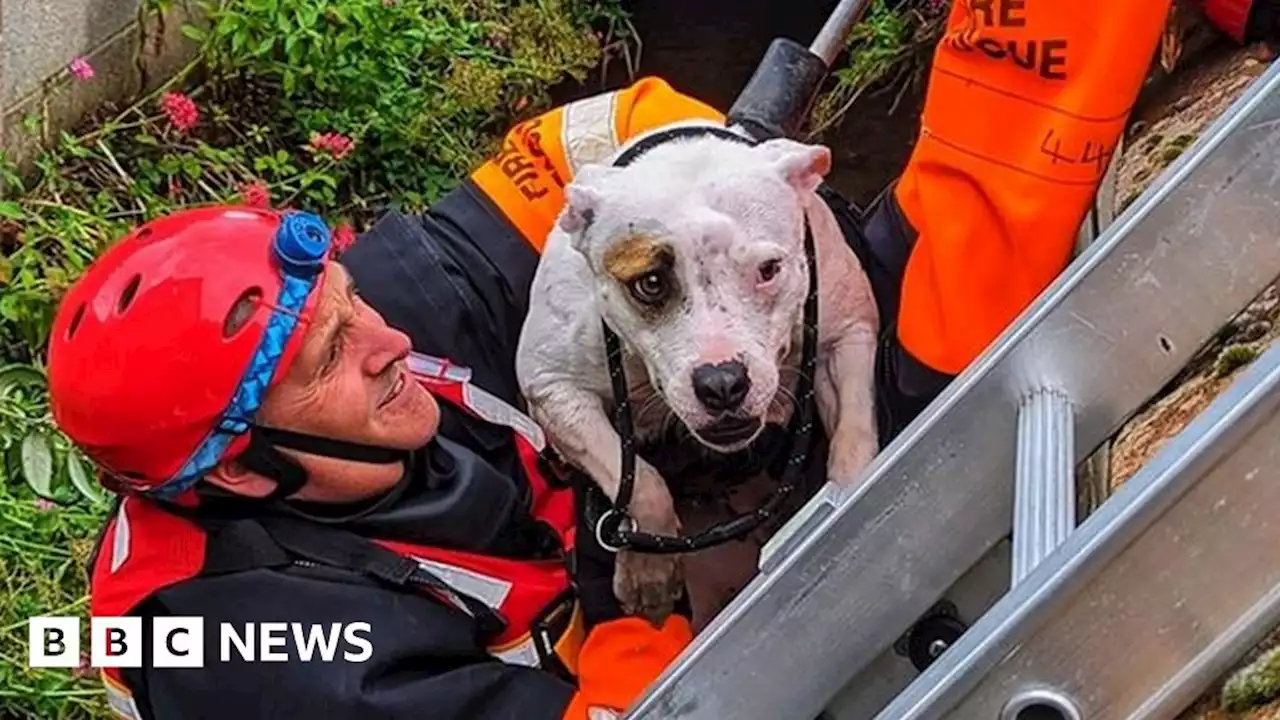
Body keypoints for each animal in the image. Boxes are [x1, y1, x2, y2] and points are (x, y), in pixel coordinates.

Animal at [512, 120, 880, 620]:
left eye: (769, 269)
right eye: (649, 283)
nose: (722, 383)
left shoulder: (849, 333)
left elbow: (854, 437)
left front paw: (848, 500)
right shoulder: (553, 387)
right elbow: (640, 481)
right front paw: (648, 571)